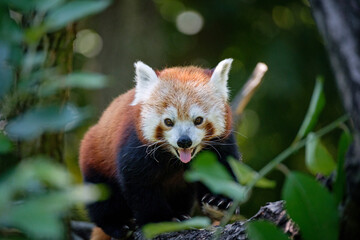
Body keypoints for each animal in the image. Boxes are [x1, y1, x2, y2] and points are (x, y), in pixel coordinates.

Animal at [80, 59, 240, 239]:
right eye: (168, 122)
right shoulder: (136, 147)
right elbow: (140, 186)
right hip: (95, 158)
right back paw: (118, 224)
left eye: (198, 120)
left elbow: (222, 169)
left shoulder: (221, 144)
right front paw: (160, 221)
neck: (175, 158)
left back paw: (181, 214)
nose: (184, 141)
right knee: (103, 197)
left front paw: (220, 202)